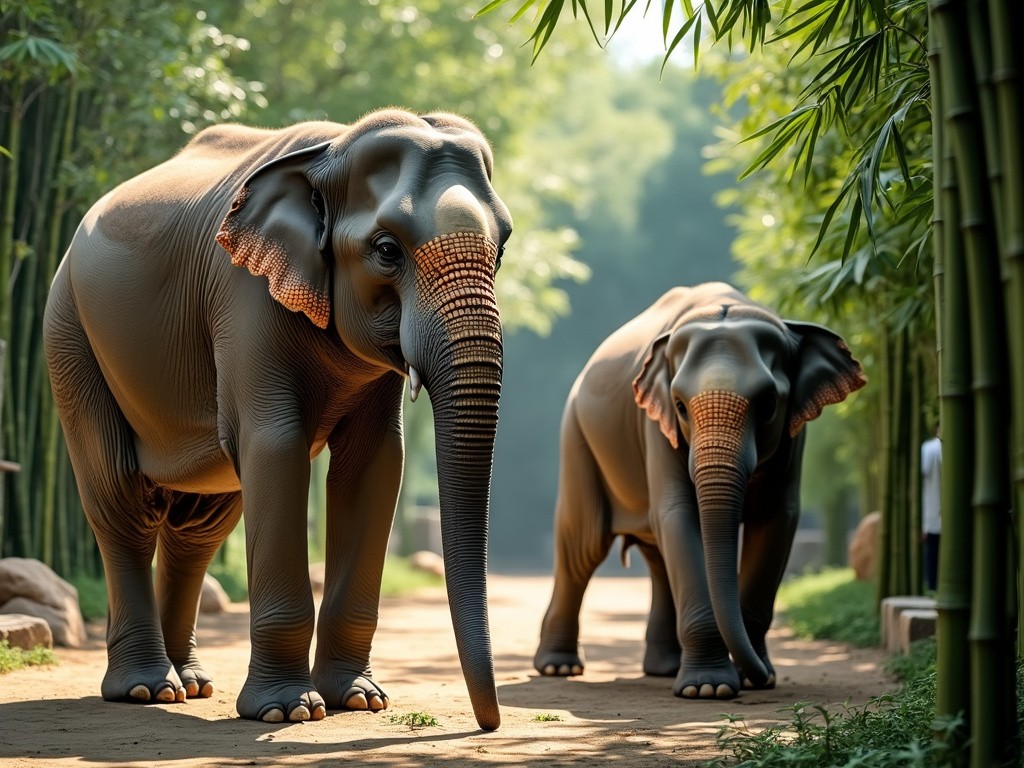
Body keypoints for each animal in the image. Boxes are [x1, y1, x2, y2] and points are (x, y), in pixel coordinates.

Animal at [41, 107, 512, 729]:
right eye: (387, 250)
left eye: (501, 249)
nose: (489, 722)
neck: (332, 151)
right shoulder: (244, 296)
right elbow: (275, 447)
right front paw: (288, 712)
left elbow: (376, 462)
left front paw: (359, 700)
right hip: (70, 333)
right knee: (122, 504)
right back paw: (147, 689)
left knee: (200, 524)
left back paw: (190, 686)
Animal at [536, 284, 864, 704]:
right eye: (679, 406)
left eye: (769, 404)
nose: (764, 677)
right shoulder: (655, 424)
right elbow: (678, 513)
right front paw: (708, 688)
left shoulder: (795, 435)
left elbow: (777, 518)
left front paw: (748, 677)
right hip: (576, 435)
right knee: (583, 547)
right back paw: (559, 668)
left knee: (656, 556)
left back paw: (664, 669)